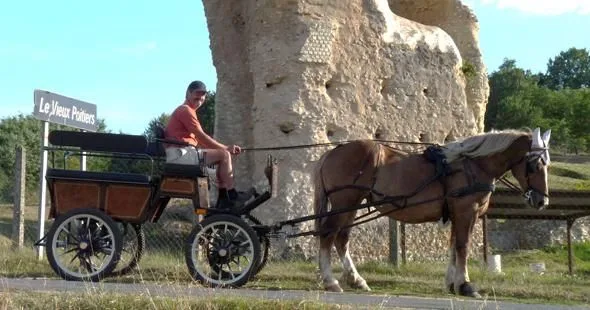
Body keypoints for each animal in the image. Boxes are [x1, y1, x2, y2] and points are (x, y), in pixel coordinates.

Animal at [316, 128, 552, 298]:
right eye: (535, 164)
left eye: (546, 164)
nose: (542, 201)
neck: (473, 165)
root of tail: (332, 152)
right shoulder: (467, 211)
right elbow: (463, 246)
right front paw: (465, 285)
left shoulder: (457, 214)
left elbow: (453, 247)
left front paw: (451, 283)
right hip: (345, 202)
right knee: (328, 235)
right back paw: (330, 281)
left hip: (352, 205)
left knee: (341, 239)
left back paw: (356, 279)